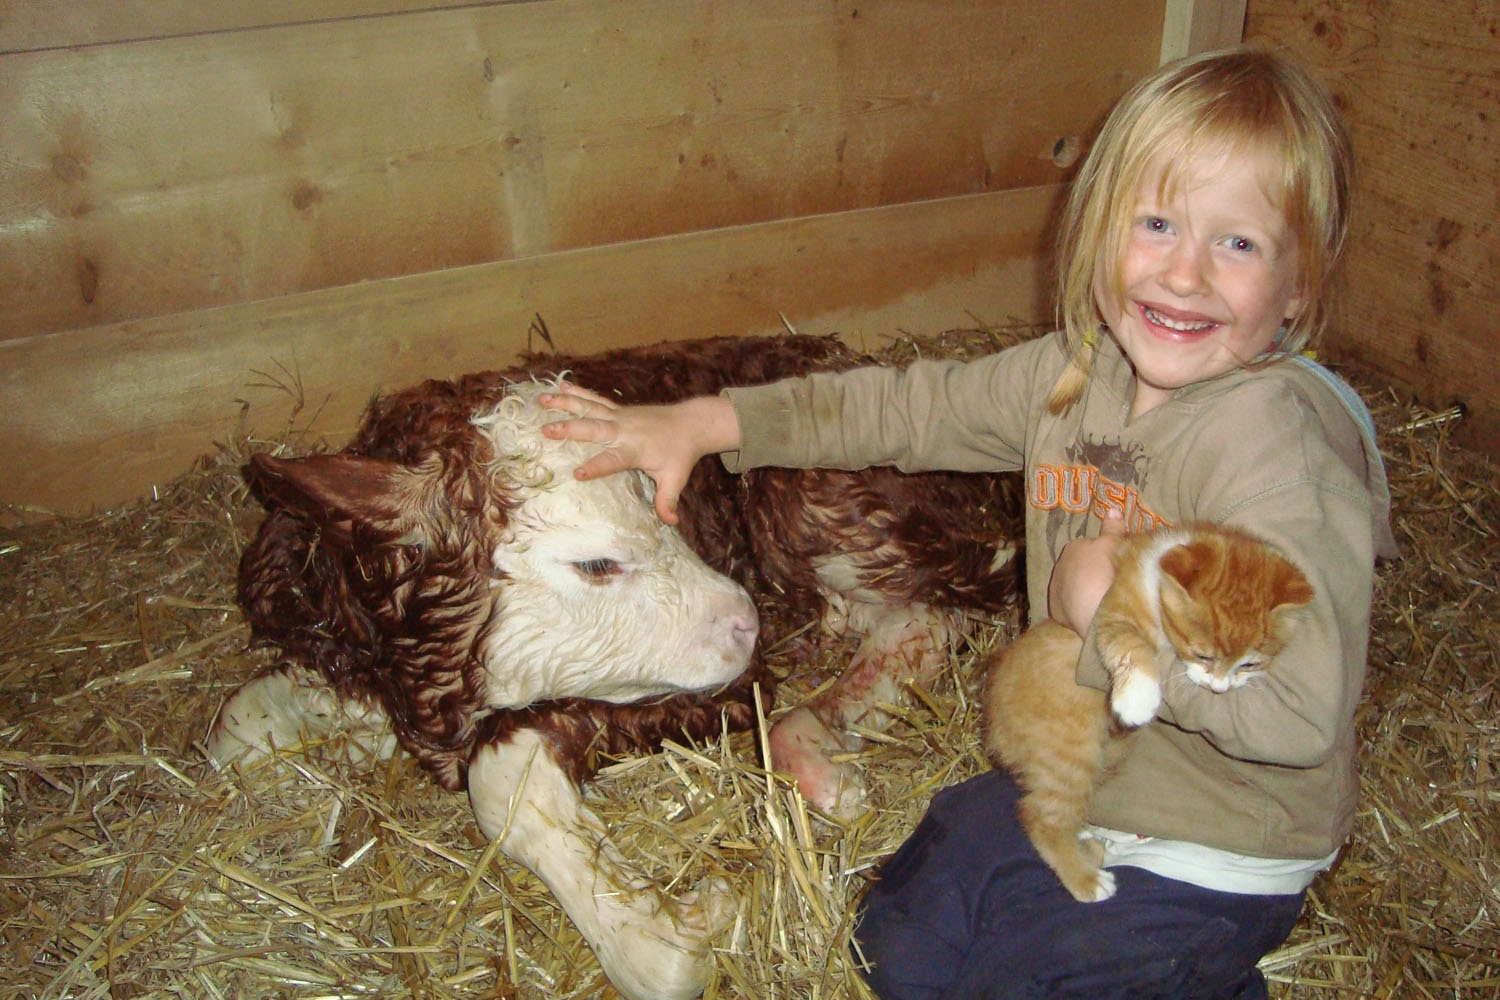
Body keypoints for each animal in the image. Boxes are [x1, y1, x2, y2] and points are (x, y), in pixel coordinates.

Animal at [972, 524, 1314, 905]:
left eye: (1250, 664)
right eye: (1203, 655)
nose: (1219, 689)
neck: (1157, 588)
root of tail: (996, 721)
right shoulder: (1113, 613)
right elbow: (1129, 645)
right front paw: (1139, 697)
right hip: (1071, 757)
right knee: (1038, 817)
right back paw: (1086, 879)